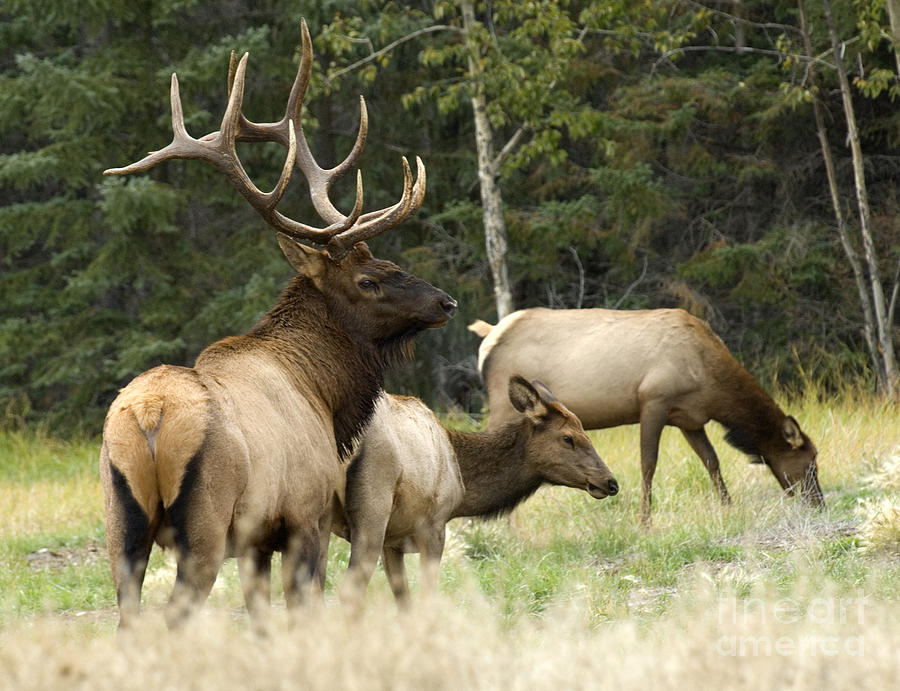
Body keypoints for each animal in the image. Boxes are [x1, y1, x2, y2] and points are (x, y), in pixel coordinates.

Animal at [98, 20, 458, 628]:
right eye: (370, 279)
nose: (445, 302)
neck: (325, 394)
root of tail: (150, 416)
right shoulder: (305, 516)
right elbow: (302, 610)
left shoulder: (256, 540)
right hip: (204, 525)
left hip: (120, 522)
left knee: (128, 617)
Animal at [330, 376, 620, 608]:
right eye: (568, 437)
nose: (611, 482)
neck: (462, 485)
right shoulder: (434, 525)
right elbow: (426, 596)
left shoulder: (393, 541)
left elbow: (404, 600)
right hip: (373, 510)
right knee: (349, 590)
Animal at [468, 308, 828, 524]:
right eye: (811, 463)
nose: (819, 504)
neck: (711, 383)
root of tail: (488, 336)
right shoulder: (654, 400)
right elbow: (649, 463)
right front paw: (644, 521)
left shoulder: (689, 418)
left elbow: (711, 461)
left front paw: (728, 508)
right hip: (502, 403)